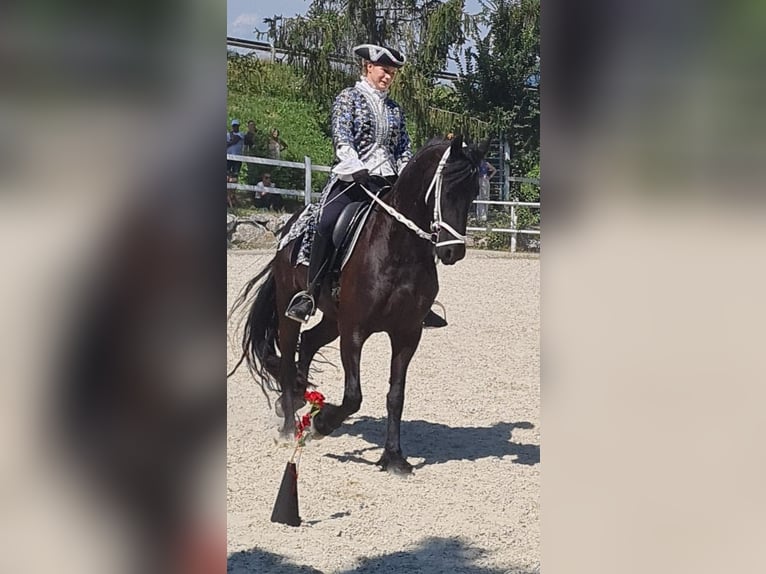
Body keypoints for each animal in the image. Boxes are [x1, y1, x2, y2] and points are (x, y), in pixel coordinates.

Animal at [229, 135, 488, 474]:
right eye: (445, 189)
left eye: (472, 193)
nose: (452, 252)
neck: (397, 249)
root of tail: (291, 225)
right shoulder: (354, 330)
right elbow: (353, 396)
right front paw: (322, 424)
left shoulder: (407, 334)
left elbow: (395, 395)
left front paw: (393, 457)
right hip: (291, 307)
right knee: (287, 355)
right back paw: (289, 424)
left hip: (332, 319)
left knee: (308, 342)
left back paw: (301, 398)